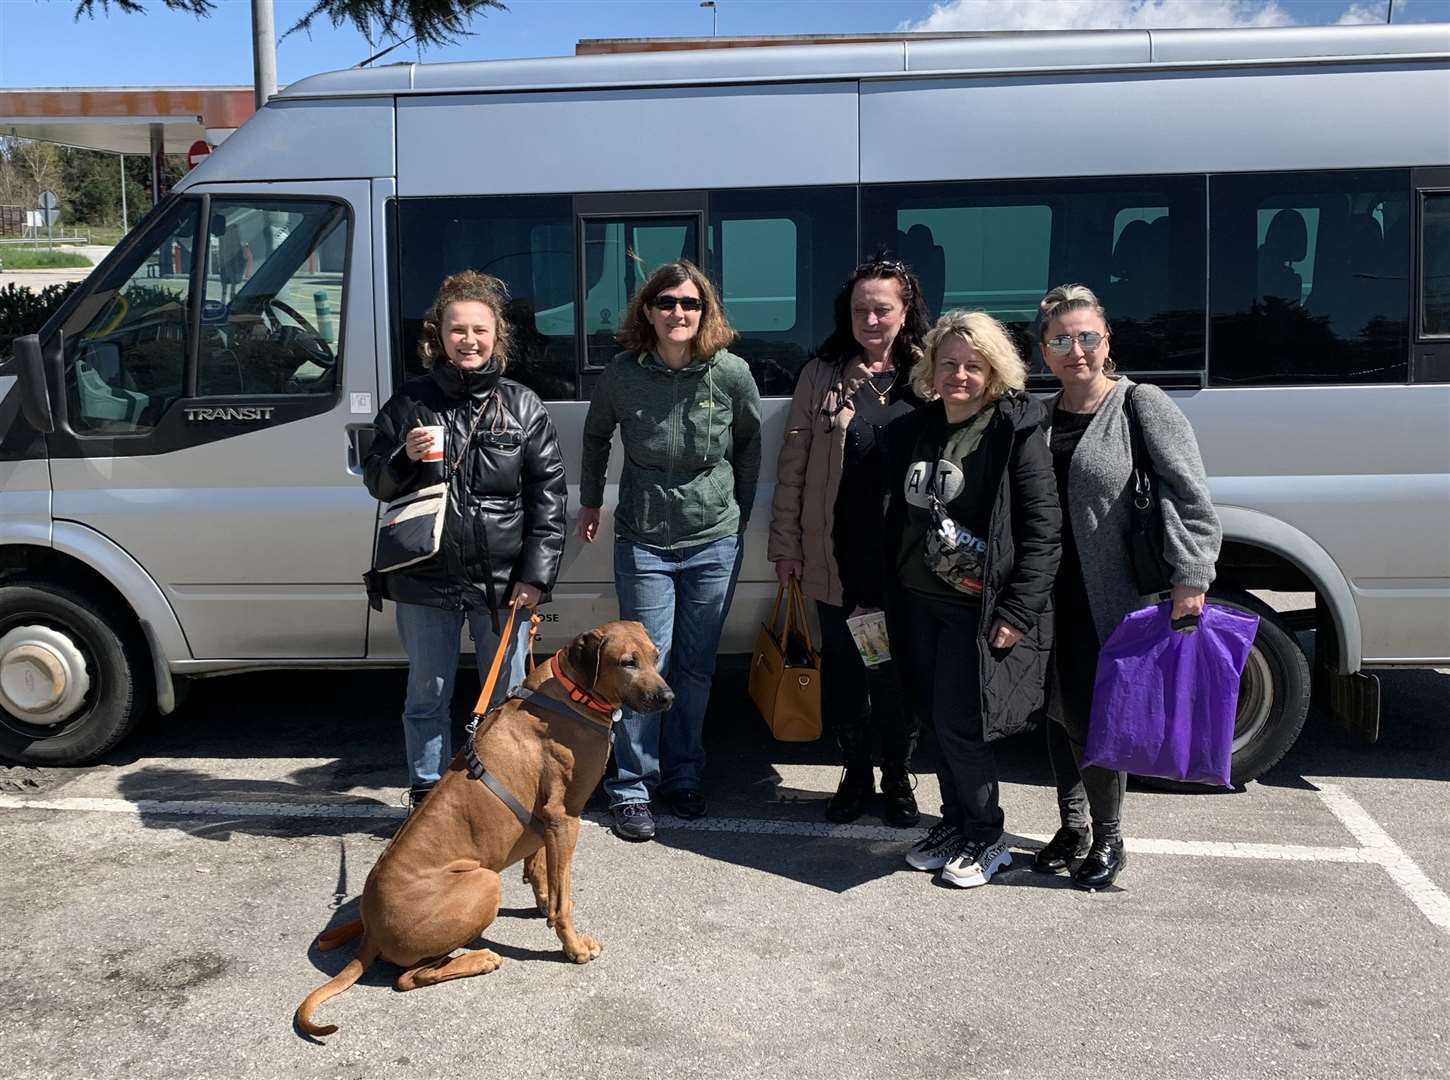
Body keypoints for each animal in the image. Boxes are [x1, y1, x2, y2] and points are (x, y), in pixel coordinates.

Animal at [298, 620, 678, 1032]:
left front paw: (544, 903)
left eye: (655, 656)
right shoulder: (565, 817)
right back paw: (479, 959)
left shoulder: (546, 821)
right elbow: (562, 900)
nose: (667, 697)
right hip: (482, 881)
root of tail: (370, 934)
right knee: (408, 977)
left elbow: (542, 872)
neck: (574, 690)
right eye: (627, 662)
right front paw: (573, 946)